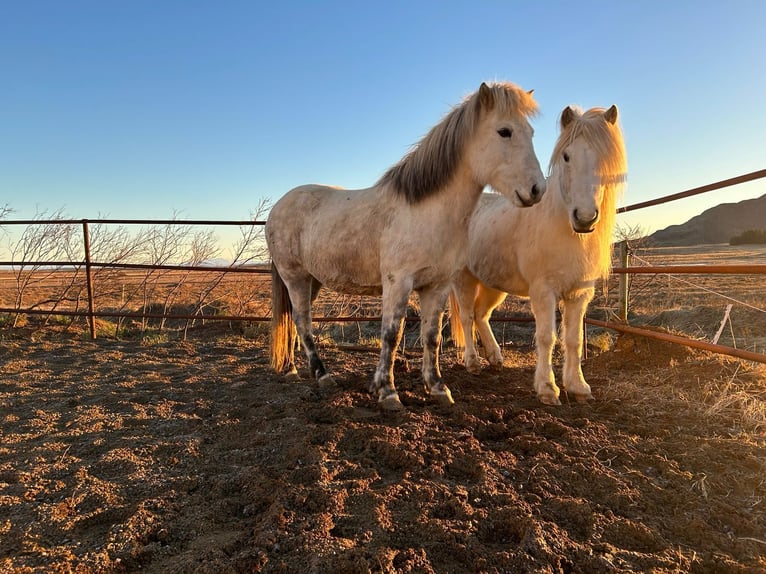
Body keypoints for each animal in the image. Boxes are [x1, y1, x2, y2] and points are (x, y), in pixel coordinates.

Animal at [266, 82, 547, 411]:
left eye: (531, 132)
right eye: (504, 131)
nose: (537, 190)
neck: (425, 211)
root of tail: (279, 206)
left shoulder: (437, 285)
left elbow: (431, 336)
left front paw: (437, 387)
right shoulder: (398, 282)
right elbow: (391, 334)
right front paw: (387, 392)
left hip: (313, 280)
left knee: (294, 320)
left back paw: (294, 367)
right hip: (295, 277)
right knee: (302, 320)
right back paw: (322, 375)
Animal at [449, 104, 627, 405]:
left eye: (606, 159)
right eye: (566, 156)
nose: (584, 218)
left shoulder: (579, 294)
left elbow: (574, 339)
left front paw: (578, 387)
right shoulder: (544, 291)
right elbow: (546, 337)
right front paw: (547, 388)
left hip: (494, 284)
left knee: (482, 315)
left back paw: (495, 357)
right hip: (465, 279)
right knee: (467, 316)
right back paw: (472, 363)